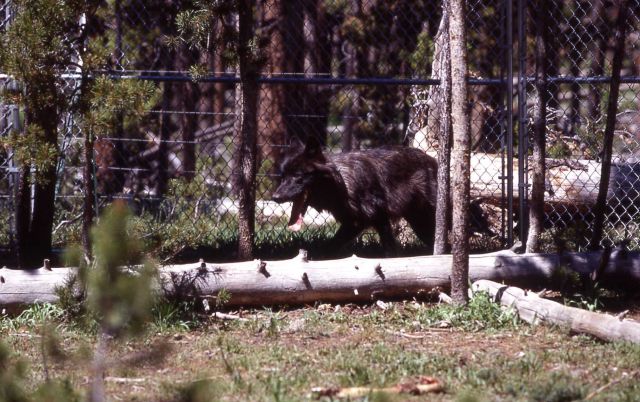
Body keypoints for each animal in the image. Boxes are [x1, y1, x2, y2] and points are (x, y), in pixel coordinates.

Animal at [272, 139, 439, 254]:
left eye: (297, 176)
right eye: (283, 176)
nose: (275, 197)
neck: (342, 184)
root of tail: (433, 161)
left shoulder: (375, 219)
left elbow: (389, 248)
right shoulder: (355, 222)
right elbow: (330, 246)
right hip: (420, 223)